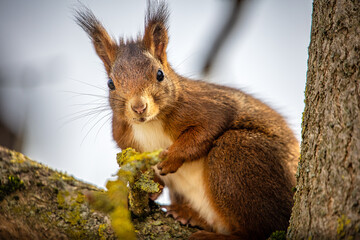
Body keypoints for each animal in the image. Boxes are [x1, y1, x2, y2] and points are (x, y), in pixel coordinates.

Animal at [76, 1, 300, 238]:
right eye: (110, 84)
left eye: (160, 74)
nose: (139, 107)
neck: (150, 125)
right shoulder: (123, 136)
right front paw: (147, 189)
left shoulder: (207, 107)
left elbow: (205, 131)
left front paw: (171, 158)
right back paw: (187, 214)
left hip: (237, 156)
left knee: (257, 231)